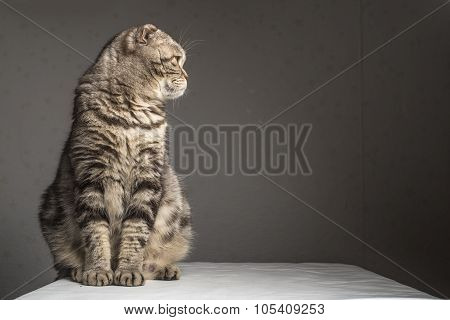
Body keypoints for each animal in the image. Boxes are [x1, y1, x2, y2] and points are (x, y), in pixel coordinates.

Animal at [38, 23, 192, 286]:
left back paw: (163, 269)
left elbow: (137, 230)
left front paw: (129, 269)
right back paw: (79, 270)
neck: (132, 113)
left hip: (180, 209)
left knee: (156, 257)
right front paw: (98, 270)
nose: (188, 76)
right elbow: (95, 231)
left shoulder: (149, 176)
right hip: (50, 211)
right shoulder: (91, 175)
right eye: (176, 60)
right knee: (64, 265)